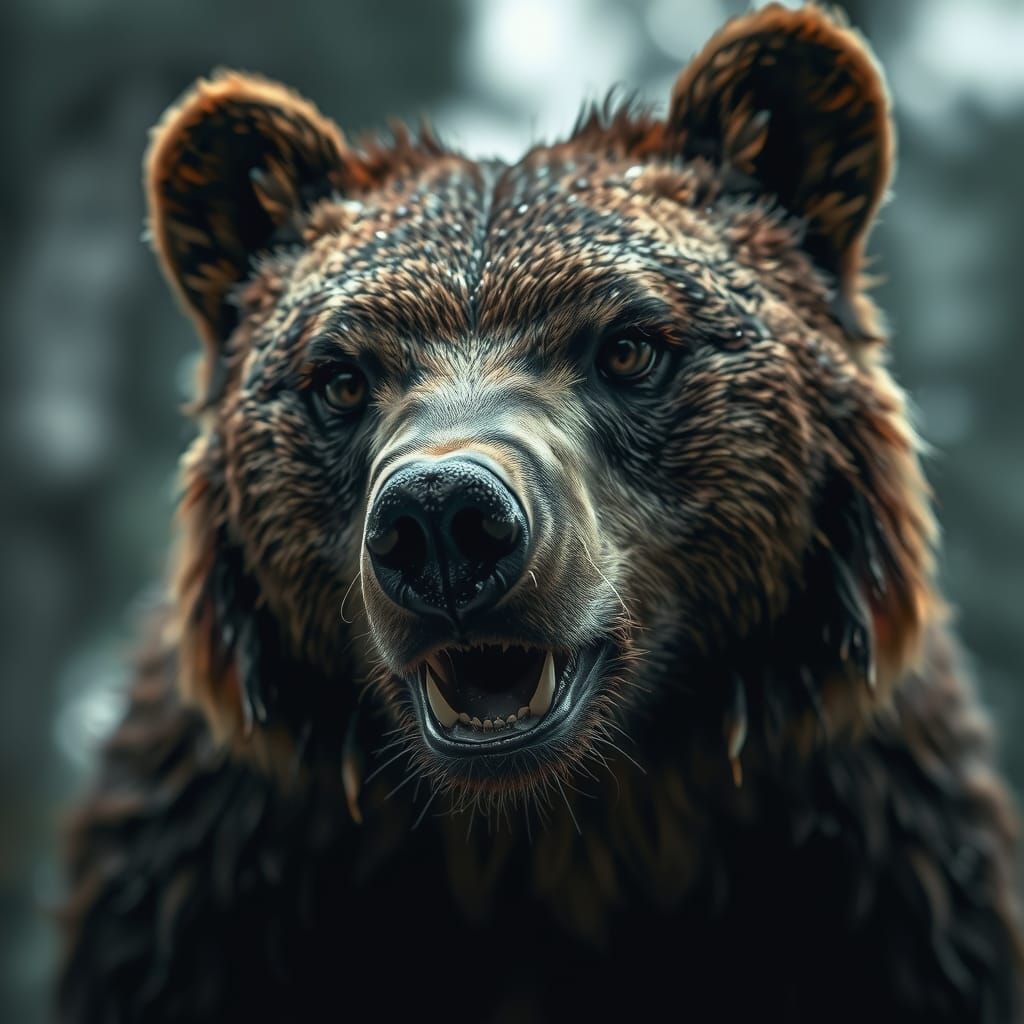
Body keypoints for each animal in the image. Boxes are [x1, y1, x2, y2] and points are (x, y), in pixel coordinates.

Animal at [58, 5, 1023, 1022]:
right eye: (341, 377)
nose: (442, 518)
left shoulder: (885, 872)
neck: (551, 837)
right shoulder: (205, 882)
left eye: (630, 345)